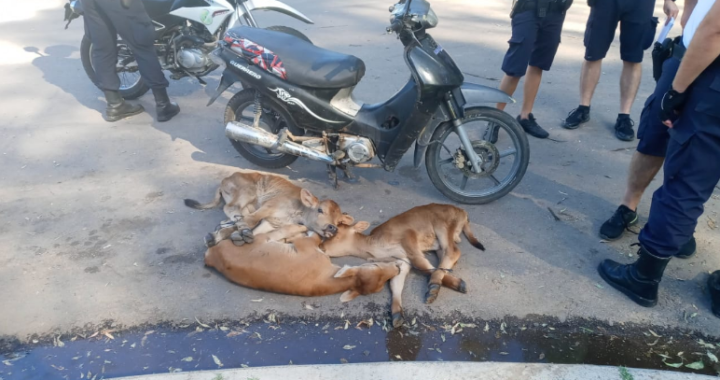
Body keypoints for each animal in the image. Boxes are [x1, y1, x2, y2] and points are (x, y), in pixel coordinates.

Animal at [186, 171, 352, 245]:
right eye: (320, 210)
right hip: (247, 192)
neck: (297, 212)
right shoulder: (268, 207)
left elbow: (256, 231)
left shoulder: (271, 223)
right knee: (230, 207)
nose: (332, 228)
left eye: (338, 222)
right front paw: (216, 236)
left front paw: (240, 234)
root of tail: (225, 180)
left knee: (234, 214)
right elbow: (251, 221)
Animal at [204, 224, 404, 302]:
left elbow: (312, 235)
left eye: (385, 281)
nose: (397, 267)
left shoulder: (305, 245)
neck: (331, 278)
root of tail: (211, 258)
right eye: (377, 267)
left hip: (262, 240)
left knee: (270, 228)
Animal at [322, 203, 484, 328]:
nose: (322, 247)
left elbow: (422, 265)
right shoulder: (402, 261)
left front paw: (437, 286)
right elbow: (397, 283)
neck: (373, 248)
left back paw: (434, 285)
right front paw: (396, 313)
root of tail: (461, 210)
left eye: (336, 234)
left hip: (442, 226)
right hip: (438, 241)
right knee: (445, 255)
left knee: (452, 251)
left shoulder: (408, 237)